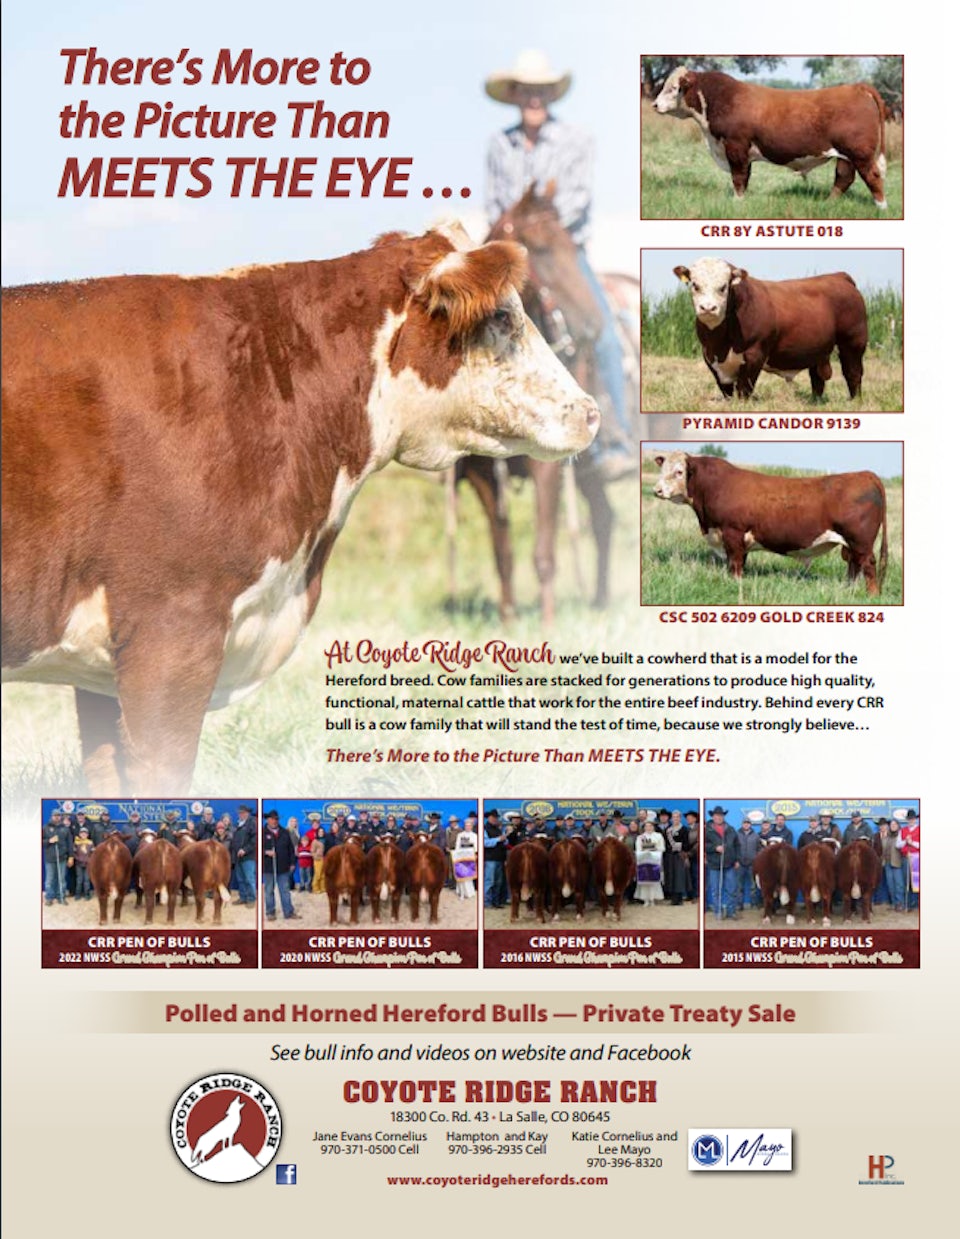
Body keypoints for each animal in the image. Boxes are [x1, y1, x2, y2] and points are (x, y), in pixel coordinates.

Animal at [652, 452, 888, 595]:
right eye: (662, 470)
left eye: (679, 472)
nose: (657, 490)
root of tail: (866, 474)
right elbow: (739, 562)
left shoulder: (732, 532)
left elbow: (735, 563)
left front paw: (735, 584)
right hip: (852, 544)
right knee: (854, 565)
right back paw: (848, 590)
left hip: (861, 541)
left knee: (868, 564)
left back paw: (871, 595)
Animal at [653, 67, 888, 207]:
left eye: (673, 88)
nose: (655, 105)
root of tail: (857, 87)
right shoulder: (742, 151)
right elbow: (745, 176)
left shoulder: (735, 145)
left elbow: (738, 177)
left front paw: (737, 202)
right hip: (846, 155)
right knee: (844, 177)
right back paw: (827, 204)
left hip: (860, 153)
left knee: (873, 176)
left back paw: (881, 207)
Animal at [673, 259, 868, 401]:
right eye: (695, 285)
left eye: (723, 287)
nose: (708, 308)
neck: (721, 344)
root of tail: (839, 276)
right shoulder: (709, 355)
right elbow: (726, 389)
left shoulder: (755, 353)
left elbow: (744, 388)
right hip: (818, 349)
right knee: (817, 379)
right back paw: (815, 401)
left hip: (853, 342)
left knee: (853, 372)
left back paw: (855, 401)